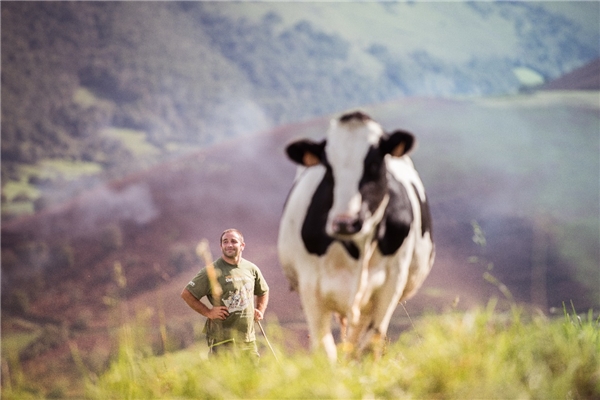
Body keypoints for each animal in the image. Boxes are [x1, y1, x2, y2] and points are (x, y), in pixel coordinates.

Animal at [278, 111, 434, 360]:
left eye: (374, 164)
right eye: (328, 168)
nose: (345, 222)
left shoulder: (391, 284)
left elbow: (370, 345)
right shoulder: (310, 287)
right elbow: (324, 349)